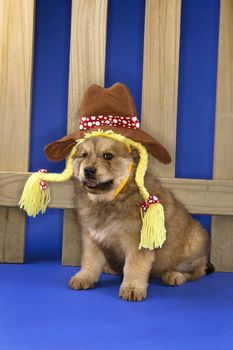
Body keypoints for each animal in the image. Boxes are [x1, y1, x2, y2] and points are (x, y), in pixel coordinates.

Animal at [68, 135, 211, 302]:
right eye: (84, 155)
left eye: (108, 156)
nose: (88, 170)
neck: (111, 200)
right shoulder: (91, 236)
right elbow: (90, 260)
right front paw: (83, 277)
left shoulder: (137, 242)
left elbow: (133, 266)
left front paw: (132, 289)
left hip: (194, 242)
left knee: (197, 271)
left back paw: (173, 275)